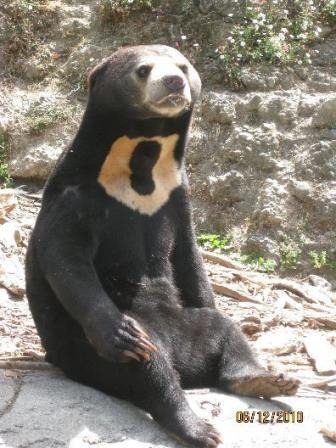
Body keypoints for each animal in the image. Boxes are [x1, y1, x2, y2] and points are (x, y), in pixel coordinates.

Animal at [26, 44, 300, 444]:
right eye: (143, 70)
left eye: (183, 67)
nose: (174, 82)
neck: (142, 153)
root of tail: (187, 366)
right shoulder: (75, 195)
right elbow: (65, 258)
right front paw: (117, 331)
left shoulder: (176, 194)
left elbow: (189, 256)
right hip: (82, 349)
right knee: (146, 365)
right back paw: (197, 426)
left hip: (194, 324)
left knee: (227, 331)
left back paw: (268, 379)